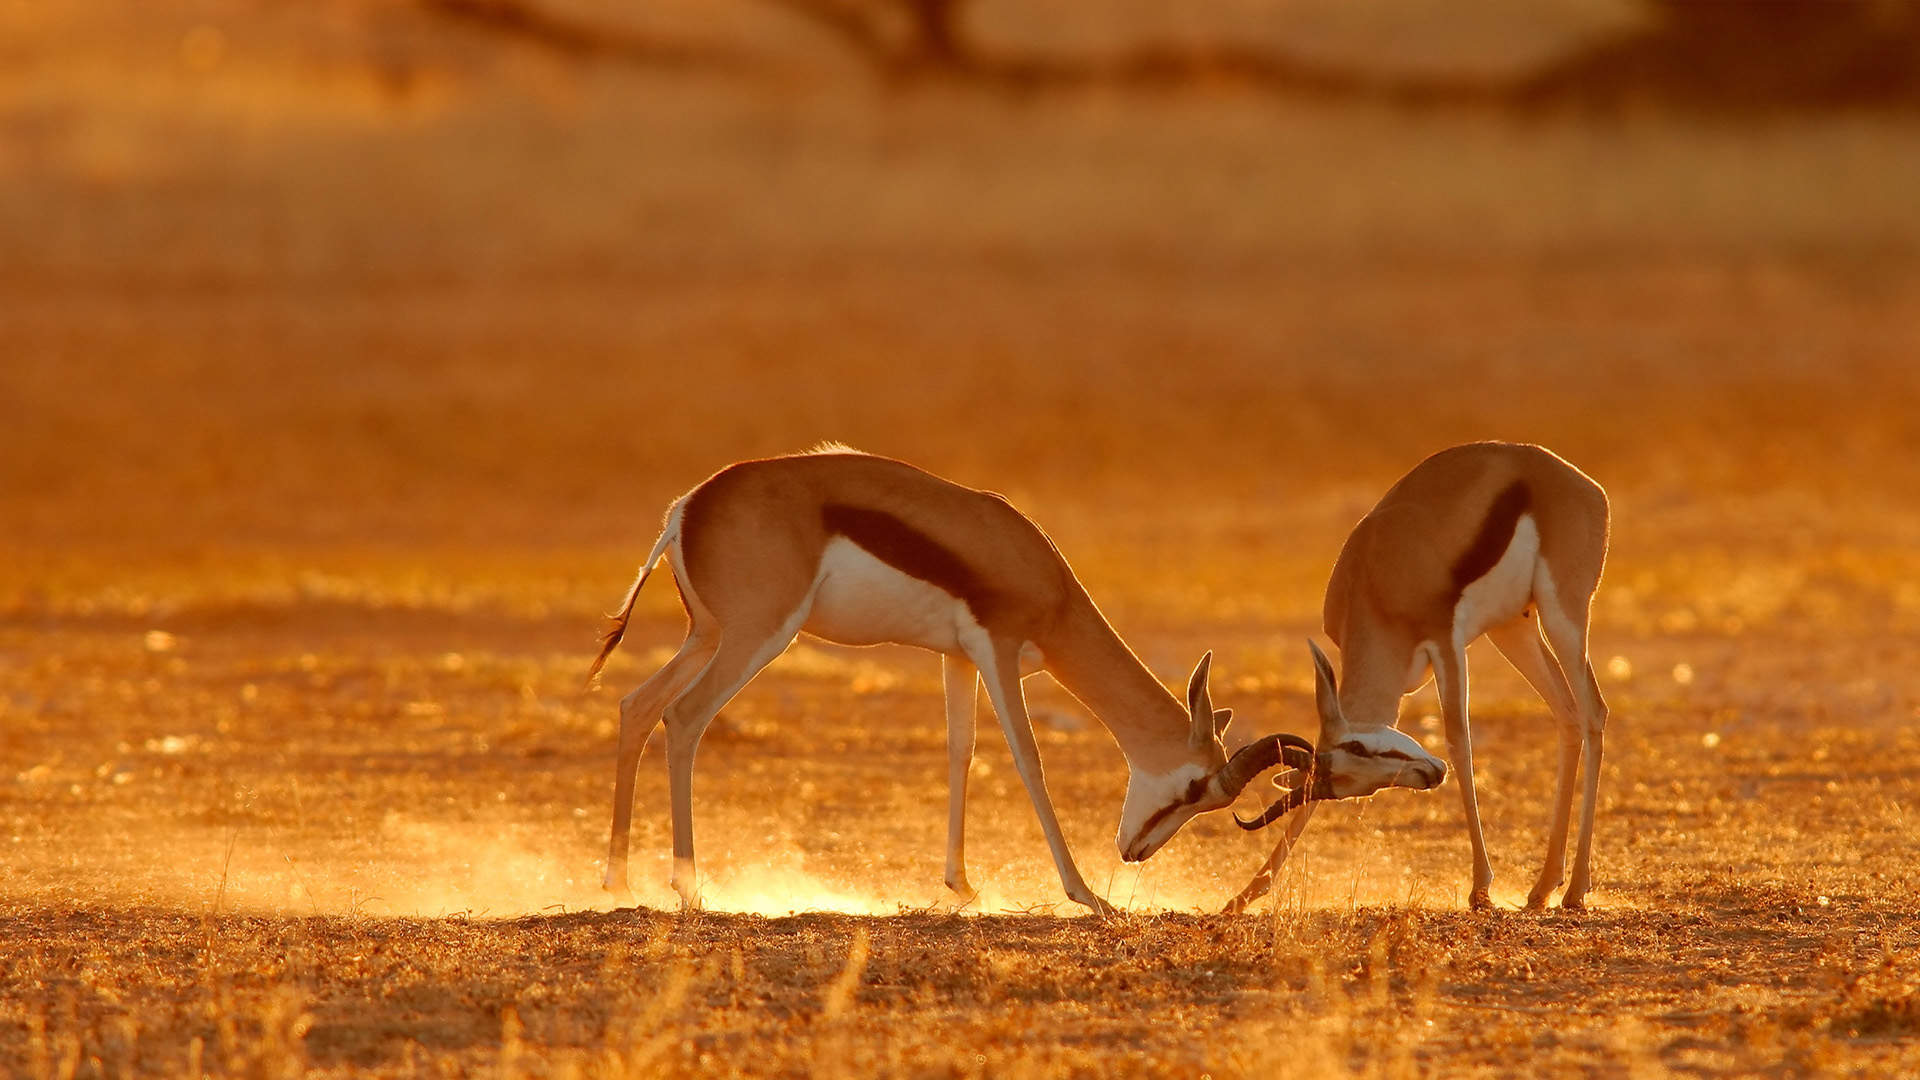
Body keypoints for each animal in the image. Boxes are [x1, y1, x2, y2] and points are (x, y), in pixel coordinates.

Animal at [585, 447, 1309, 914]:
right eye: (1192, 789)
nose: (1134, 853)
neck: (1034, 569)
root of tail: (686, 509)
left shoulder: (957, 657)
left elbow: (962, 751)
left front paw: (962, 886)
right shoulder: (998, 648)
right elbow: (1028, 759)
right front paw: (1088, 897)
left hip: (707, 636)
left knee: (636, 706)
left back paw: (619, 882)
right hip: (756, 637)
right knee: (685, 717)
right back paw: (688, 888)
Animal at [1222, 442, 1610, 913]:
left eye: (1361, 747)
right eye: (1355, 788)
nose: (1430, 774)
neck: (1376, 575)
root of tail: (1571, 476)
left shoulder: (1445, 642)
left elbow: (1460, 743)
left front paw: (1481, 890)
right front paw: (1244, 895)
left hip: (1562, 615)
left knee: (1593, 712)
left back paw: (1575, 891)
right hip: (1513, 627)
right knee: (1567, 715)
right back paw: (1542, 888)